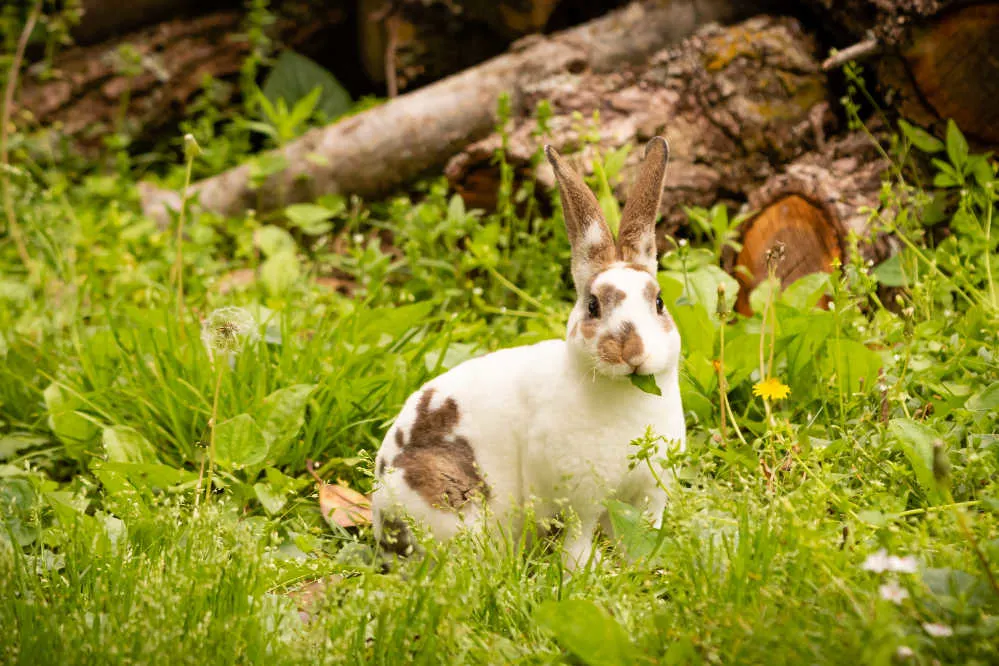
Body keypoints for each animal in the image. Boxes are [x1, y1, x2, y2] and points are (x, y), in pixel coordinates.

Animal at [372, 137, 684, 568]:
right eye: (592, 306)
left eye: (659, 302)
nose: (632, 351)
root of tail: (379, 523)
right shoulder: (580, 497)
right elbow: (579, 537)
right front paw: (586, 570)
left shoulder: (651, 490)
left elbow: (646, 527)